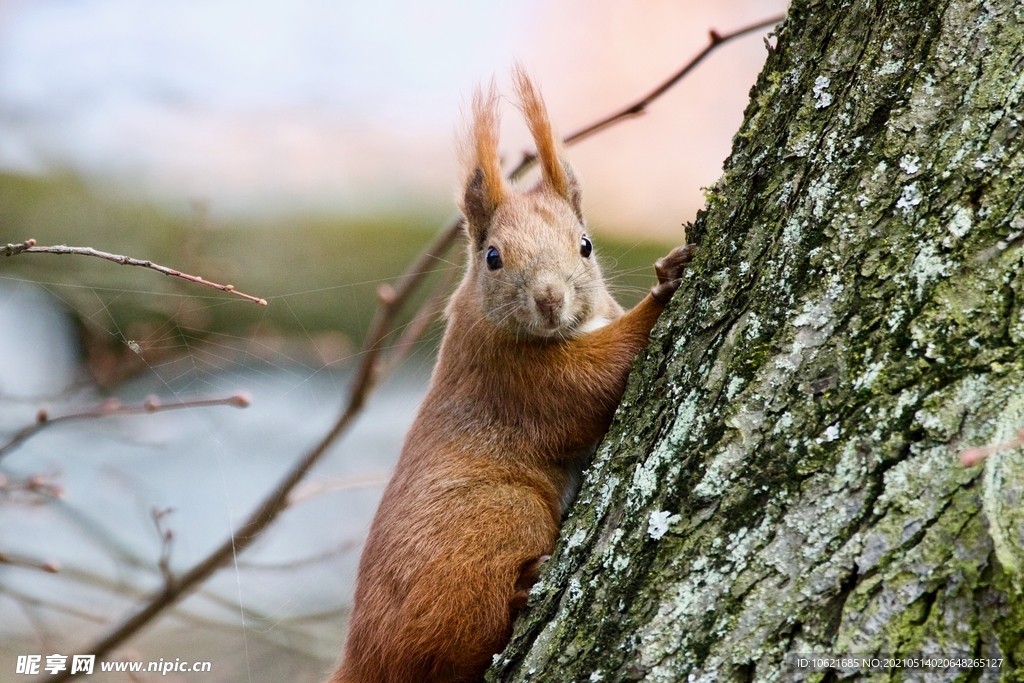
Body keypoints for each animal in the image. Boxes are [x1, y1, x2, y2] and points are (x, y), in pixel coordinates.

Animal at [327, 68, 696, 683]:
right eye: (494, 257)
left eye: (586, 244)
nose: (549, 299)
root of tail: (363, 661)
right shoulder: (512, 376)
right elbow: (593, 381)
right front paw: (664, 289)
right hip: (500, 516)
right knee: (448, 649)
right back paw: (522, 592)